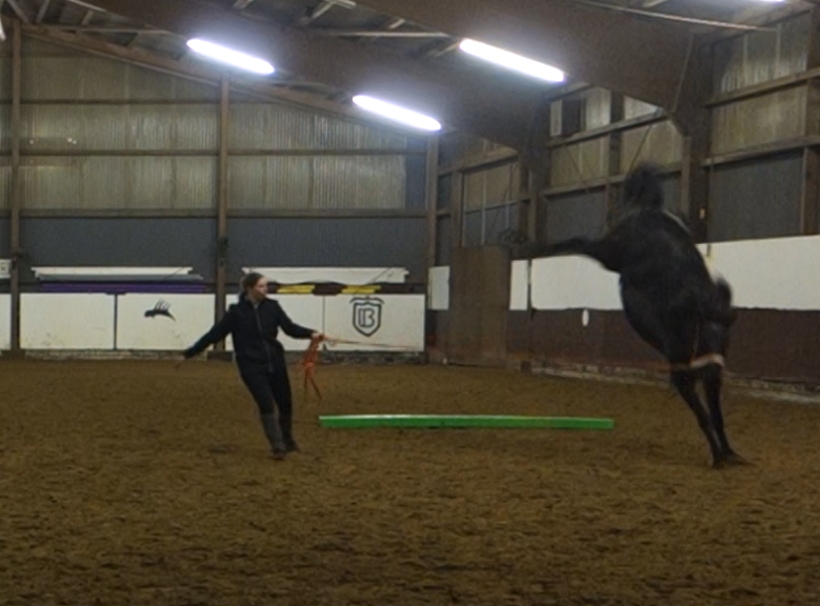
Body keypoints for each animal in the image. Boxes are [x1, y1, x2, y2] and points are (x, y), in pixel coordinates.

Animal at [513, 163, 745, 468]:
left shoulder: (697, 375)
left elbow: (711, 415)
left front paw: (725, 453)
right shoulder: (693, 373)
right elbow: (709, 414)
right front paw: (722, 454)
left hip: (611, 257)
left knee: (579, 243)